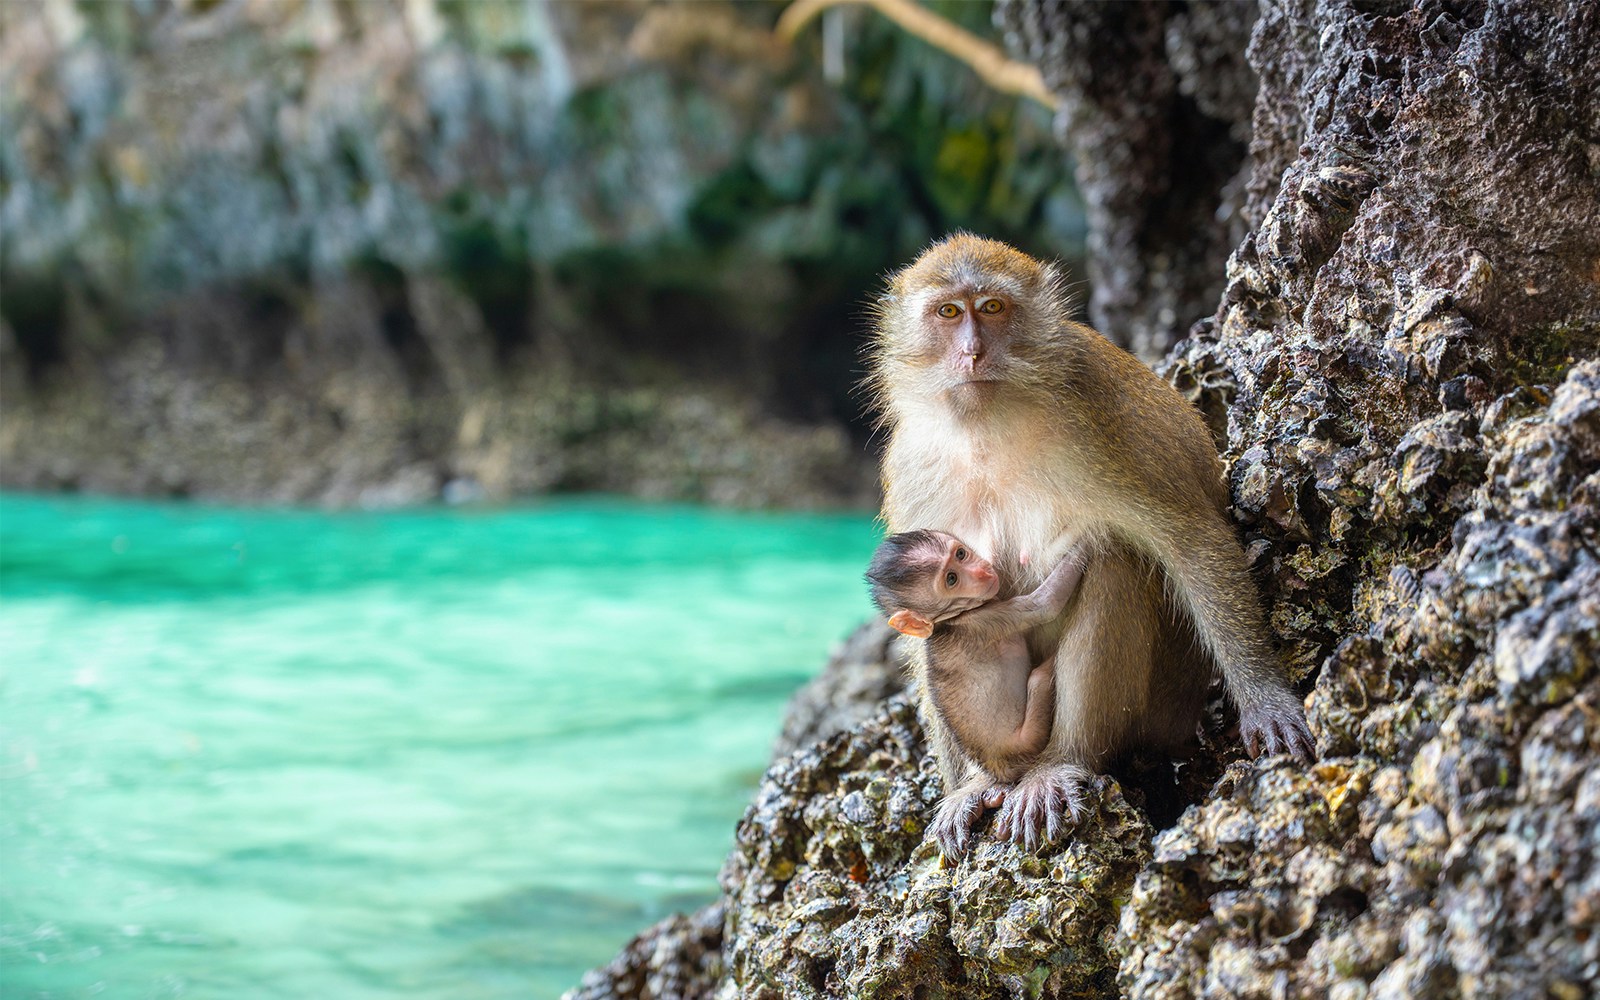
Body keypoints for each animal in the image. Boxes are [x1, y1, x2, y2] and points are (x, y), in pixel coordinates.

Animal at [865, 529, 1088, 854]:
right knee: (1038, 679)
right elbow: (1045, 604)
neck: (949, 621)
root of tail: (1001, 768)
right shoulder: (990, 618)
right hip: (1027, 739)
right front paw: (1083, 548)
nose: (982, 571)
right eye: (951, 580)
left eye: (960, 554)